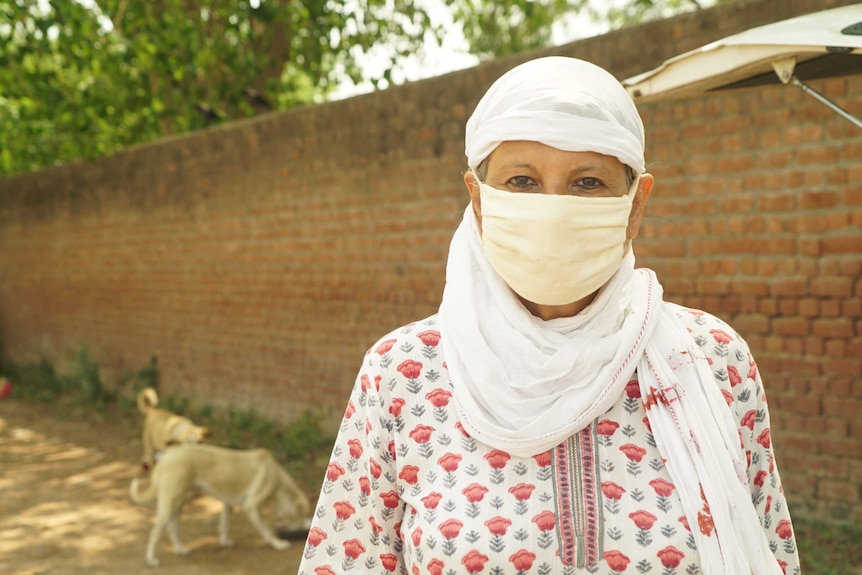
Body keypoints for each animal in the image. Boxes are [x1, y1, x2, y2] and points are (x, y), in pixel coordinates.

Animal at [130, 444, 312, 568]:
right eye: (303, 513)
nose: (305, 526)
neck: (279, 479)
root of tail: (166, 456)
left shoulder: (228, 504)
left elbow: (224, 524)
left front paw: (224, 542)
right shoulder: (251, 506)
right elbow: (266, 530)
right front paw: (278, 544)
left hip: (178, 502)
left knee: (172, 528)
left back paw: (180, 550)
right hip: (170, 503)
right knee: (155, 532)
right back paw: (151, 560)